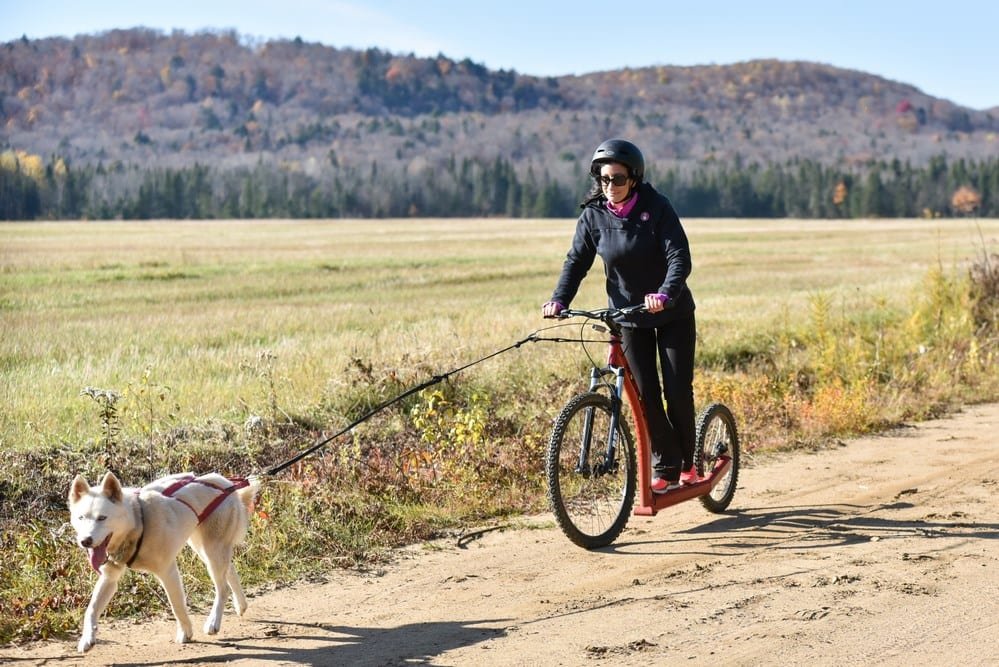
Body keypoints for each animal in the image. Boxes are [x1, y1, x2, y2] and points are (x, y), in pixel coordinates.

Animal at [68, 472, 260, 656]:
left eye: (102, 518)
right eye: (81, 517)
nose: (85, 541)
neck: (138, 523)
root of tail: (225, 483)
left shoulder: (168, 572)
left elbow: (177, 606)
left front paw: (186, 632)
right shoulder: (109, 578)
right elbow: (91, 609)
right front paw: (87, 639)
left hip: (213, 551)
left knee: (222, 588)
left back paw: (213, 622)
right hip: (204, 550)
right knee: (230, 571)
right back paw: (241, 605)